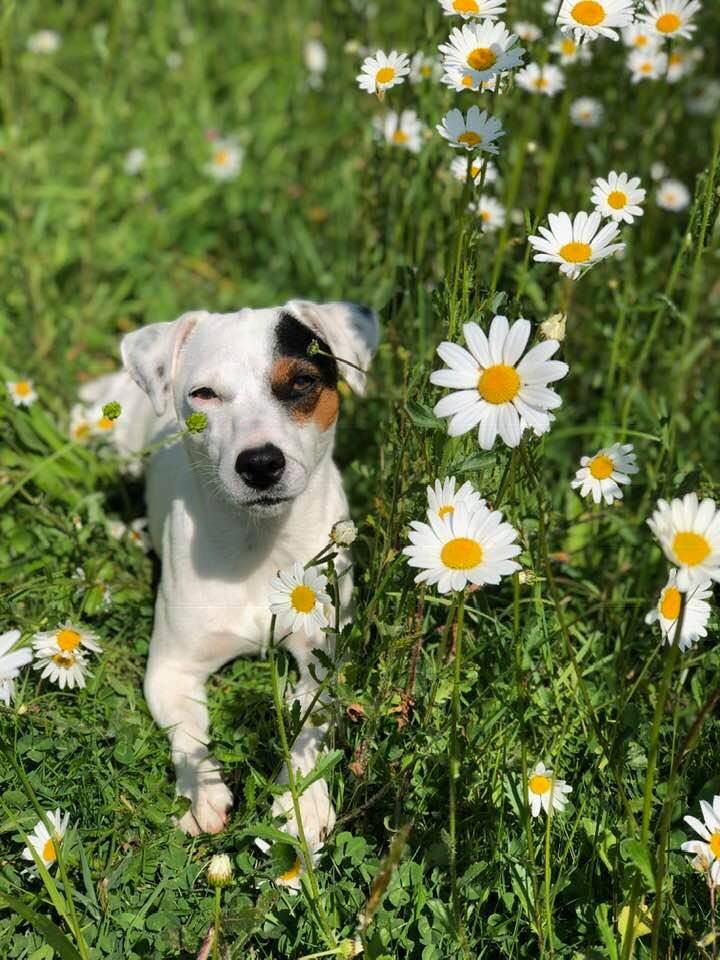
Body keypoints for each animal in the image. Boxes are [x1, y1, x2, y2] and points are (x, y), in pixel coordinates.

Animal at [80, 300, 376, 840]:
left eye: (301, 382)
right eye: (204, 394)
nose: (260, 463)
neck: (258, 543)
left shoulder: (324, 658)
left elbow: (311, 724)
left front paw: (304, 801)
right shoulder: (170, 670)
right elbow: (189, 734)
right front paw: (201, 791)